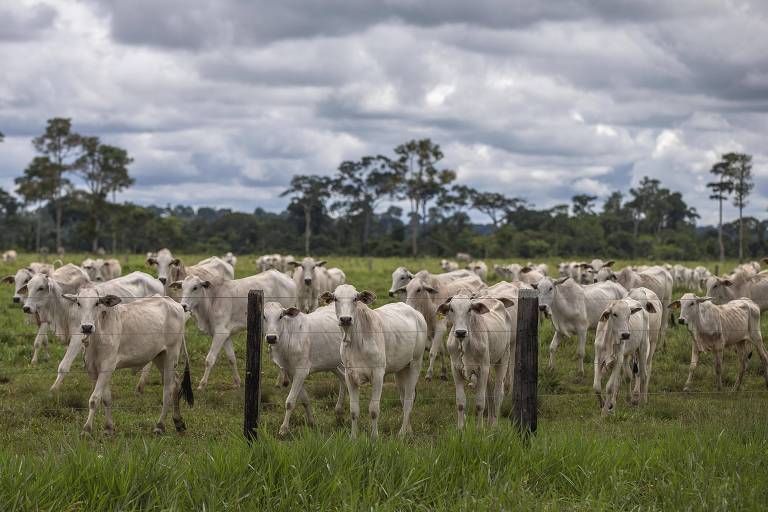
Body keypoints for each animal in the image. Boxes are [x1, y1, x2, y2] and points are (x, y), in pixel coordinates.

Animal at [75, 294, 194, 434]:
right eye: (78, 303)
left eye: (97, 303)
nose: (86, 327)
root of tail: (173, 302)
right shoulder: (93, 369)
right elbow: (106, 398)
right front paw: (108, 428)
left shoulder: (107, 366)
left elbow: (94, 399)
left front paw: (86, 430)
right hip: (159, 357)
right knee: (175, 381)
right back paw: (178, 422)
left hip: (171, 355)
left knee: (168, 389)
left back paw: (160, 426)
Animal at [266, 302, 346, 438]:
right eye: (264, 316)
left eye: (281, 316)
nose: (271, 338)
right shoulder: (291, 372)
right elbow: (304, 399)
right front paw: (312, 422)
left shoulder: (301, 371)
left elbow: (290, 402)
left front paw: (283, 429)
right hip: (333, 363)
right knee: (344, 379)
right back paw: (339, 411)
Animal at [318, 286, 426, 438]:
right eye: (335, 299)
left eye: (355, 298)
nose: (345, 319)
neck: (355, 342)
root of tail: (416, 313)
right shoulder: (349, 376)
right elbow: (354, 410)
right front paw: (353, 437)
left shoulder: (378, 374)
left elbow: (374, 410)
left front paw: (374, 437)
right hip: (401, 369)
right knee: (403, 397)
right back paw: (408, 430)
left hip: (416, 363)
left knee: (409, 399)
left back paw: (401, 433)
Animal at [436, 294, 512, 430]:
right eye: (451, 309)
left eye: (469, 309)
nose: (460, 332)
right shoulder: (455, 370)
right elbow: (460, 402)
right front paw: (460, 428)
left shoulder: (482, 369)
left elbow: (480, 403)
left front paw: (479, 429)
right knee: (490, 389)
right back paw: (490, 421)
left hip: (503, 357)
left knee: (498, 393)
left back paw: (494, 425)